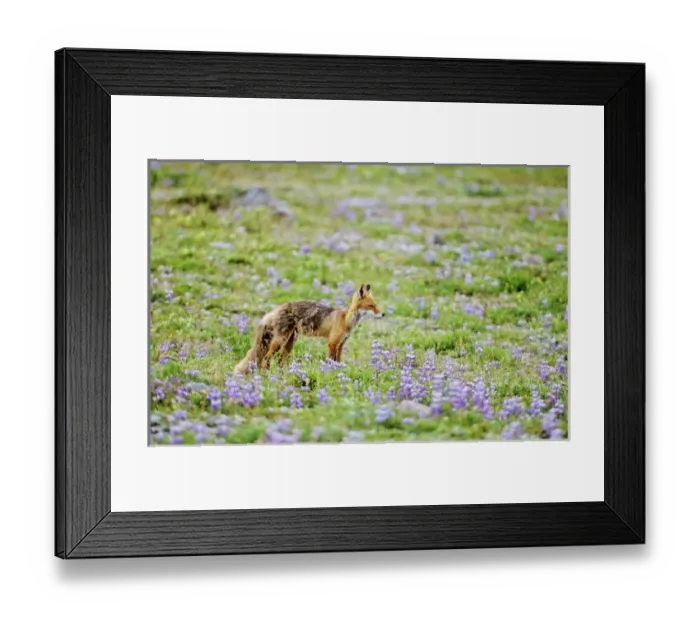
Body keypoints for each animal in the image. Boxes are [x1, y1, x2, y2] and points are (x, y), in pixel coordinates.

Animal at [234, 283, 383, 374]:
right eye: (371, 306)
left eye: (376, 305)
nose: (383, 314)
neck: (346, 319)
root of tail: (276, 309)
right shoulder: (332, 343)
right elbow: (331, 360)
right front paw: (330, 372)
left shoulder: (341, 344)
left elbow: (338, 361)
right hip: (280, 341)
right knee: (266, 358)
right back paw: (268, 374)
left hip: (290, 342)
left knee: (280, 361)